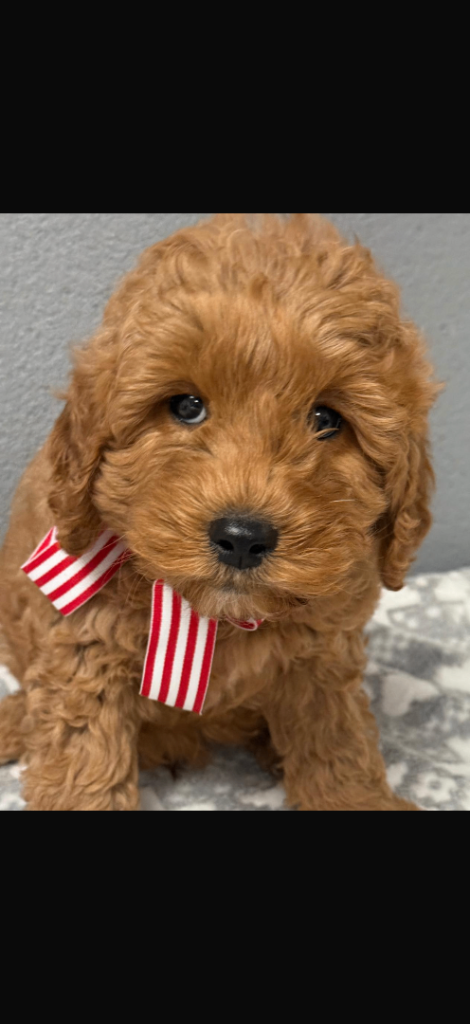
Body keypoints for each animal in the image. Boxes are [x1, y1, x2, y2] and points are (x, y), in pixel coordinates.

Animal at [0, 213, 438, 810]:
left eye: (326, 419)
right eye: (187, 406)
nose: (242, 536)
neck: (214, 619)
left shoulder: (323, 659)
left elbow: (338, 746)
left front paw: (360, 798)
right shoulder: (85, 653)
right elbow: (82, 765)